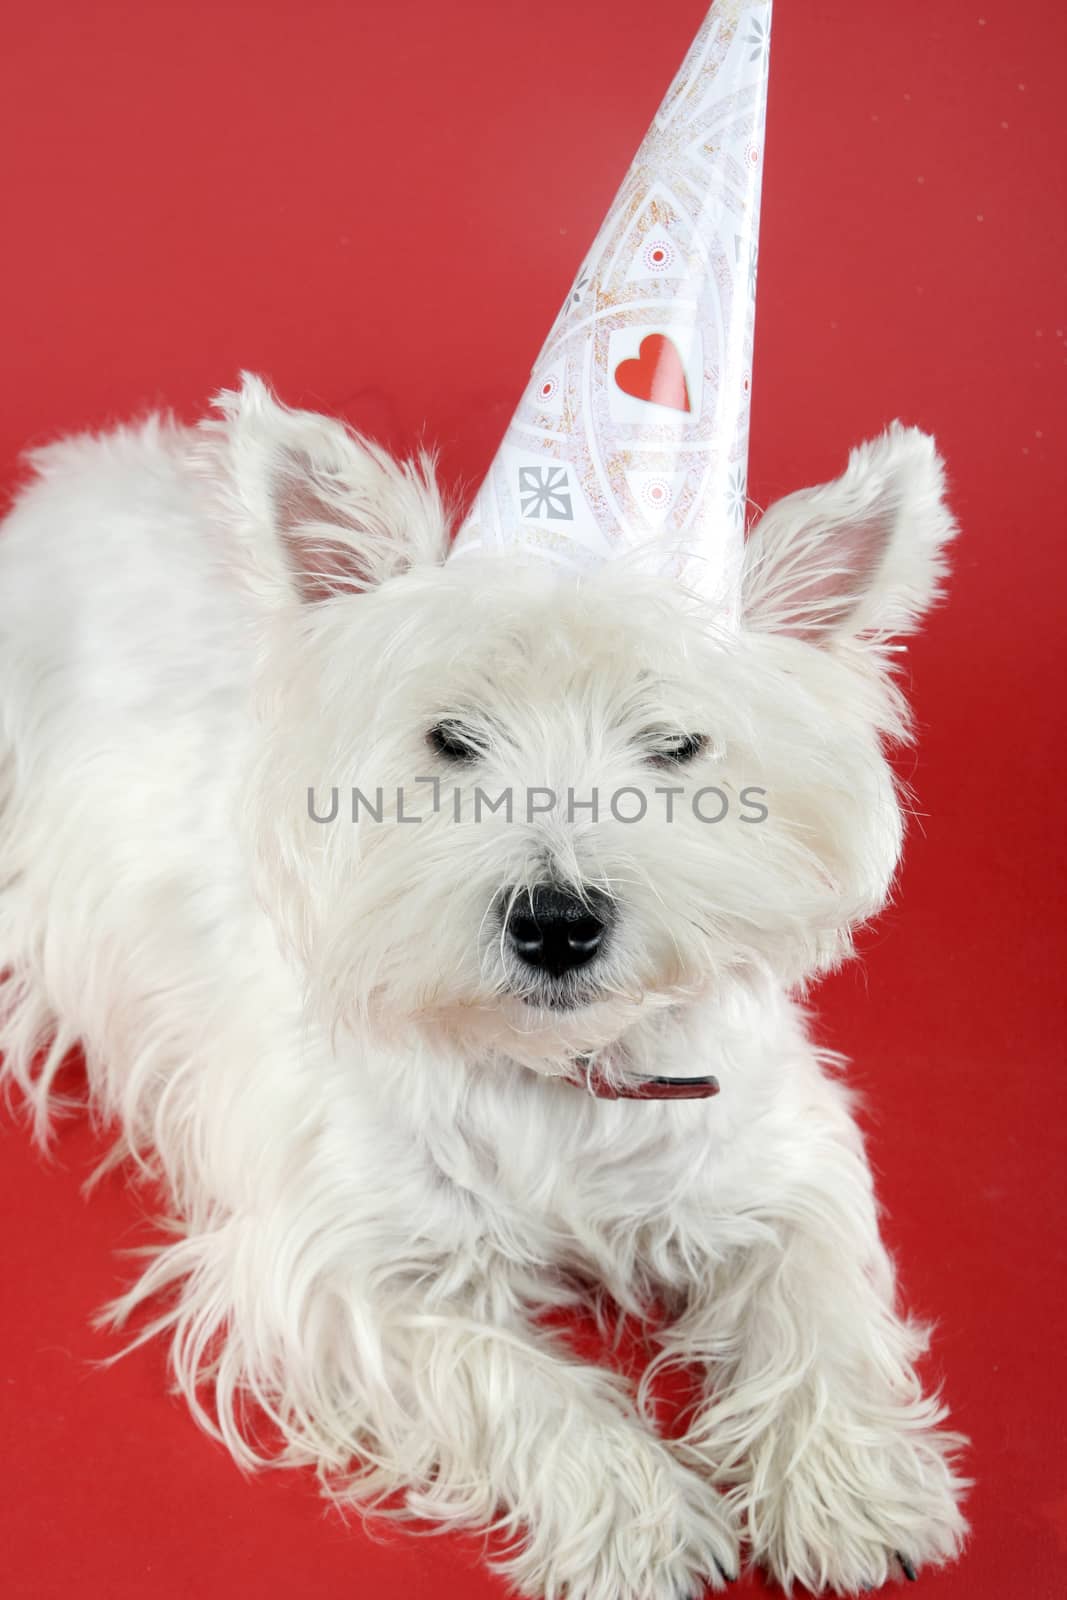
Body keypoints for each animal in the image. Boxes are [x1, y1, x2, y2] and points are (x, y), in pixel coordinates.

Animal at [0, 377, 966, 1600]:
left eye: (676, 744)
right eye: (450, 738)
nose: (557, 922)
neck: (555, 1074)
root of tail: (79, 470)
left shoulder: (774, 1158)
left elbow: (815, 1305)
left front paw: (849, 1485)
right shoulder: (345, 1269)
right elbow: (519, 1380)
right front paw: (643, 1523)